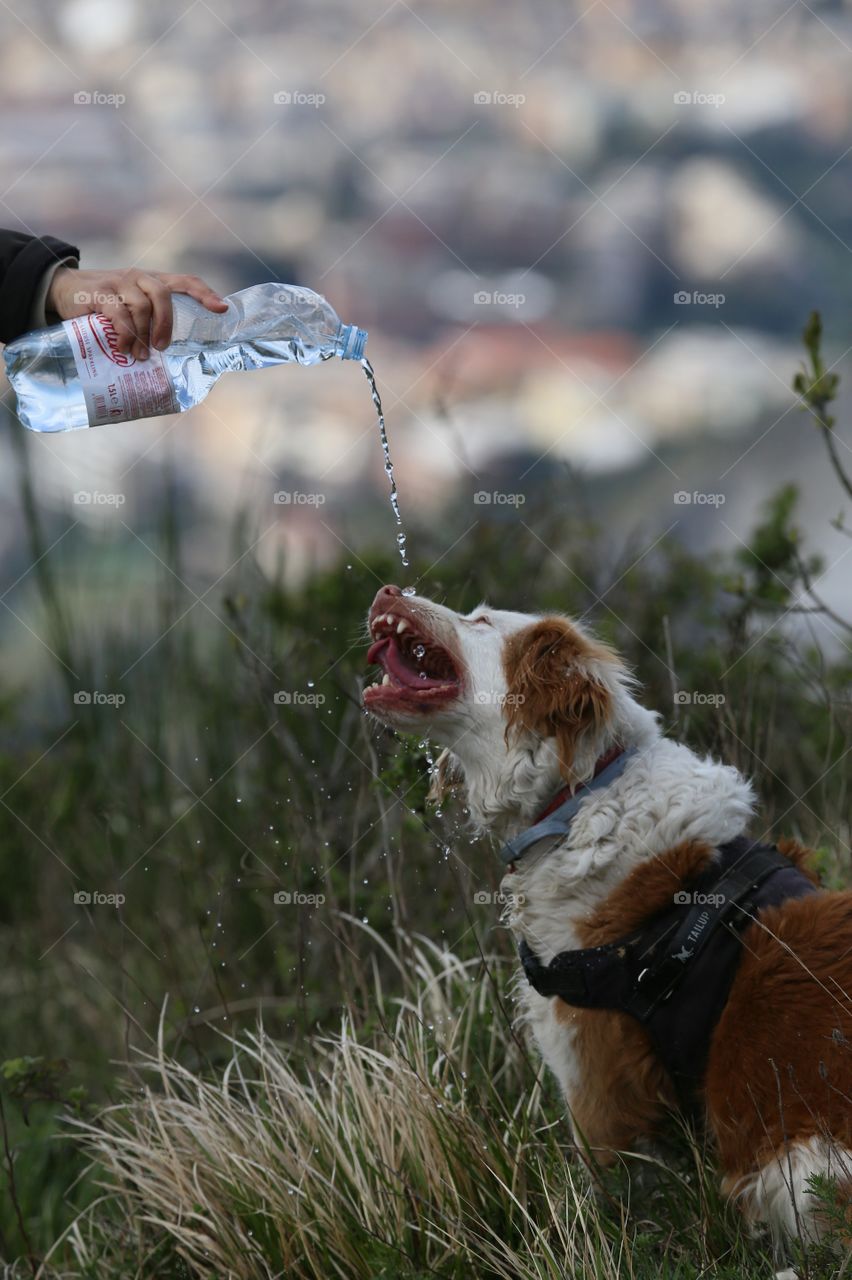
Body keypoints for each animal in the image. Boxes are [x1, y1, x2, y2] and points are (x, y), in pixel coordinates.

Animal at [363, 586, 849, 1244]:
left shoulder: (596, 1080)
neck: (581, 797)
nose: (388, 592)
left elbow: (615, 1196)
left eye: (481, 621)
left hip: (796, 1172)